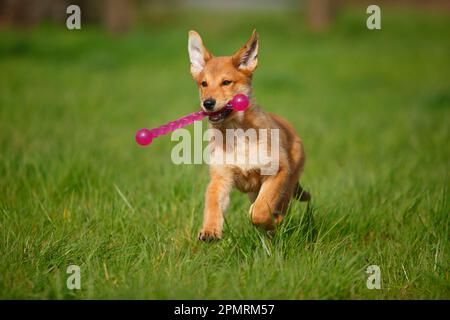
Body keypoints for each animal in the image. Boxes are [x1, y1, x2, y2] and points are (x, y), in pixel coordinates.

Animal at [187, 30, 310, 241]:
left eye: (226, 82)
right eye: (203, 84)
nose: (208, 103)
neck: (236, 134)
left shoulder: (277, 171)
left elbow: (258, 211)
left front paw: (269, 220)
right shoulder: (221, 177)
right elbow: (212, 204)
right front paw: (210, 230)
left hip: (288, 183)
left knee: (281, 206)